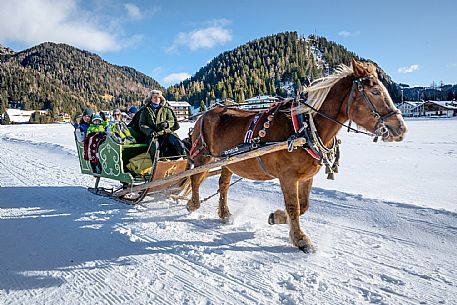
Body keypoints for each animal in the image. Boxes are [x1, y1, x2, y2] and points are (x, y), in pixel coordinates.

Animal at [185, 58, 406, 252]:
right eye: (375, 92)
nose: (401, 128)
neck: (304, 127)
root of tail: (205, 114)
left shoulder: (306, 176)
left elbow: (304, 205)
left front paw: (276, 217)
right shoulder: (288, 176)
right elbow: (294, 206)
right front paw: (301, 240)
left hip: (228, 161)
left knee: (223, 184)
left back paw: (224, 214)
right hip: (202, 156)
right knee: (195, 179)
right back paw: (193, 204)